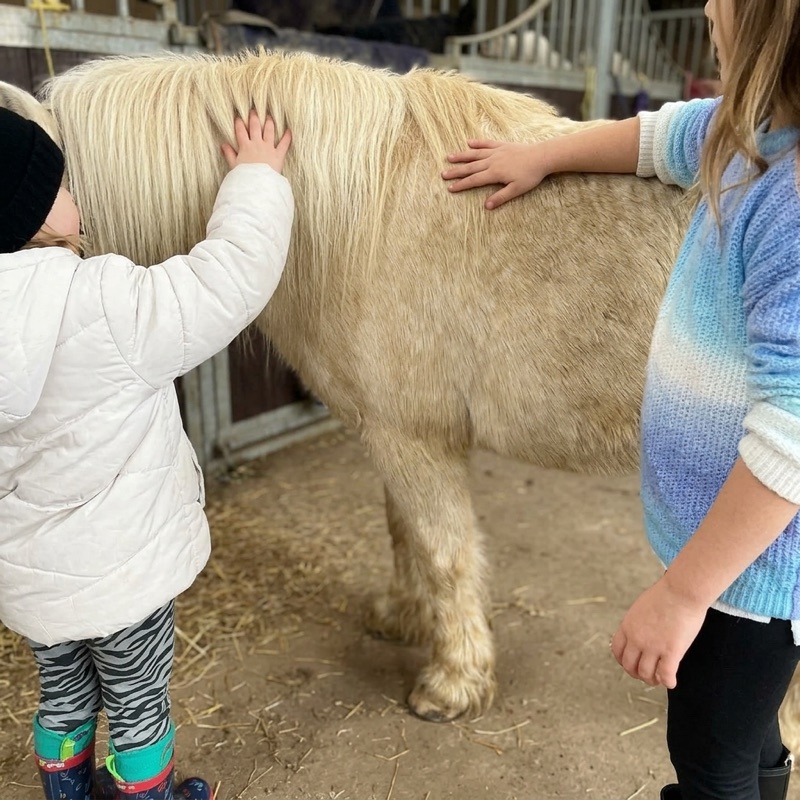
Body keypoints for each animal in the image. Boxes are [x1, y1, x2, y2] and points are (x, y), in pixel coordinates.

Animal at [2, 49, 691, 724]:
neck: (371, 214)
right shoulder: (394, 434)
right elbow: (404, 531)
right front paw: (403, 618)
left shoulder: (411, 438)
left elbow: (443, 549)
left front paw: (453, 683)